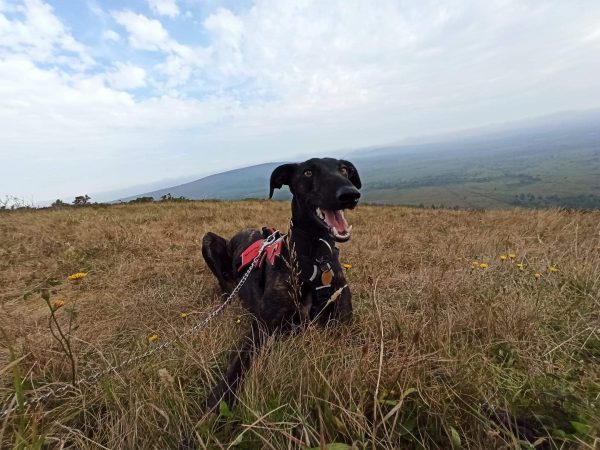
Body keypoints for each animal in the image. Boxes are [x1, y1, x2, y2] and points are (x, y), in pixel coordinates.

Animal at [202, 156, 360, 410]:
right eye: (307, 172)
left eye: (344, 169)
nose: (349, 194)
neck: (315, 259)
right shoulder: (261, 330)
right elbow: (236, 367)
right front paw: (213, 406)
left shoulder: (344, 326)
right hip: (207, 239)